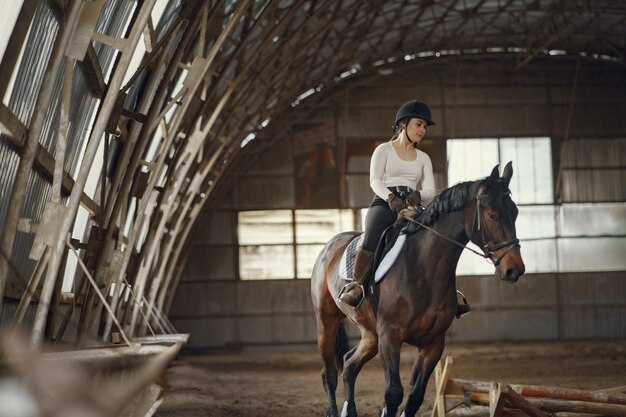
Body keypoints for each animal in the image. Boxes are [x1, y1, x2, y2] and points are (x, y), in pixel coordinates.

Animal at [310, 162, 524, 416]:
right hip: (327, 322)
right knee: (329, 373)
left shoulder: (433, 343)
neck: (423, 267)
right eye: (492, 215)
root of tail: (329, 247)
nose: (515, 269)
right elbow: (393, 394)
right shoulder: (390, 336)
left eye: (515, 213)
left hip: (371, 334)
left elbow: (415, 396)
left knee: (350, 364)